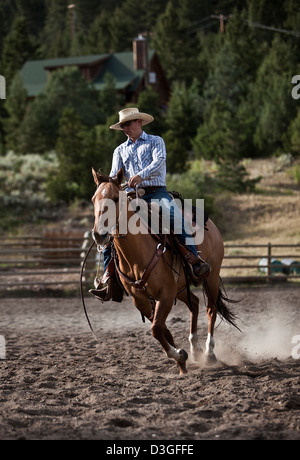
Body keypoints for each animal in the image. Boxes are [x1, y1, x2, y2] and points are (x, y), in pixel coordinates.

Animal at [90, 168, 238, 374]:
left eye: (115, 198)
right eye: (93, 199)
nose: (99, 234)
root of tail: (211, 225)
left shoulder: (166, 294)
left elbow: (156, 329)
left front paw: (180, 356)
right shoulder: (141, 299)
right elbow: (161, 329)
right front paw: (181, 358)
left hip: (212, 277)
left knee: (211, 309)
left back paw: (209, 353)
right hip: (181, 287)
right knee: (195, 303)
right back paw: (195, 350)